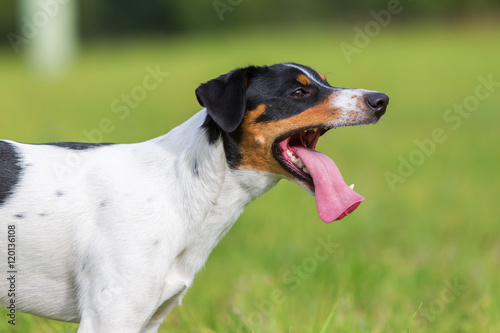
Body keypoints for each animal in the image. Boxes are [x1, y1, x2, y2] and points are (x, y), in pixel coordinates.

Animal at [0, 63, 386, 332]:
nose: (381, 100)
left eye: (325, 82)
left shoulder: (148, 319)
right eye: (298, 92)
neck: (179, 185)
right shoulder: (109, 316)